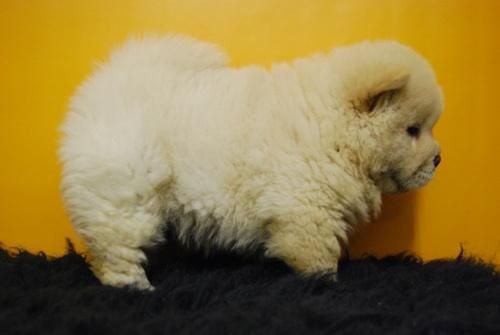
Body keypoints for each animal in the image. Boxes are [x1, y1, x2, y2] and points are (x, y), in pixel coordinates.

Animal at [59, 35, 442, 290]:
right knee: (116, 247)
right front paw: (326, 284)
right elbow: (318, 255)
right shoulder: (307, 210)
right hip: (124, 193)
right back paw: (136, 286)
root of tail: (106, 81)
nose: (439, 158)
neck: (332, 127)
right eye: (412, 130)